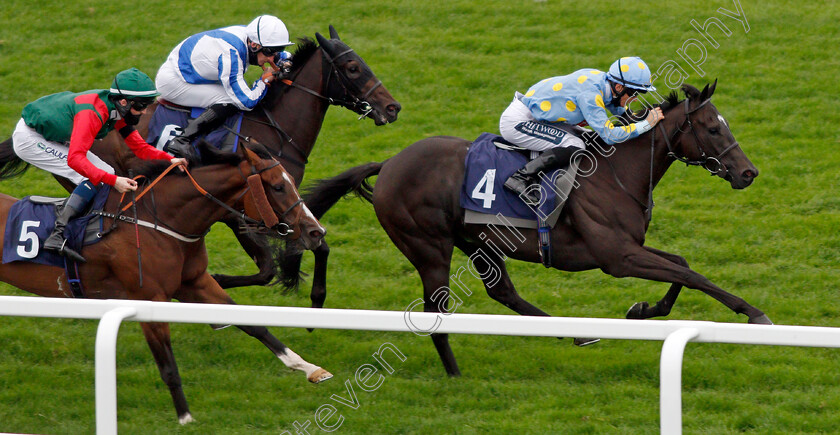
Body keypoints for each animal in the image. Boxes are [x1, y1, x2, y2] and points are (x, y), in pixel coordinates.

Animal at [0, 144, 330, 426]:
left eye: (291, 181)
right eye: (277, 186)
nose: (316, 231)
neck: (159, 222)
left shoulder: (194, 282)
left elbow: (255, 325)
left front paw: (308, 367)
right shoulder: (149, 298)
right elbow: (168, 366)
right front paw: (185, 418)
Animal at [296, 83, 776, 376]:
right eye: (713, 128)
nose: (748, 173)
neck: (616, 173)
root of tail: (391, 163)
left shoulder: (629, 248)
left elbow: (682, 264)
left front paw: (643, 309)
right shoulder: (617, 257)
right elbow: (691, 274)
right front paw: (754, 313)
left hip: (478, 242)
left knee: (502, 292)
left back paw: (576, 333)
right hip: (428, 245)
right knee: (436, 308)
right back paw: (454, 372)